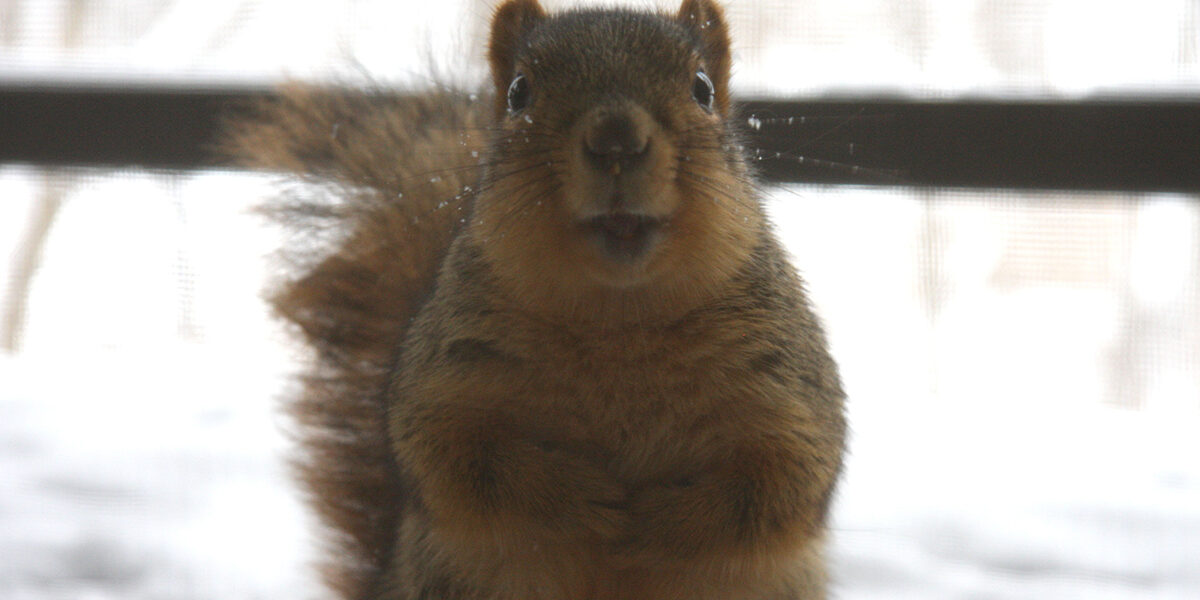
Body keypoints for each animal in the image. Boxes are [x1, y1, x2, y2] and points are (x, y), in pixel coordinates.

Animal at [225, 0, 846, 598]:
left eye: (702, 89)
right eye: (520, 93)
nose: (616, 139)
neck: (619, 318)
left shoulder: (786, 385)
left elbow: (784, 482)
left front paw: (661, 520)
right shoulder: (445, 373)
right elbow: (459, 463)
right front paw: (580, 499)